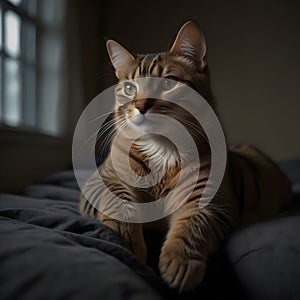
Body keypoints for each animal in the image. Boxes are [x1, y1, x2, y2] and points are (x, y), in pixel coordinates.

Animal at [79, 20, 290, 290]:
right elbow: (119, 201)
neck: (161, 148)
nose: (141, 106)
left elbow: (191, 226)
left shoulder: (208, 199)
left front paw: (180, 260)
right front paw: (127, 241)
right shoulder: (102, 179)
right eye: (128, 88)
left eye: (168, 83)